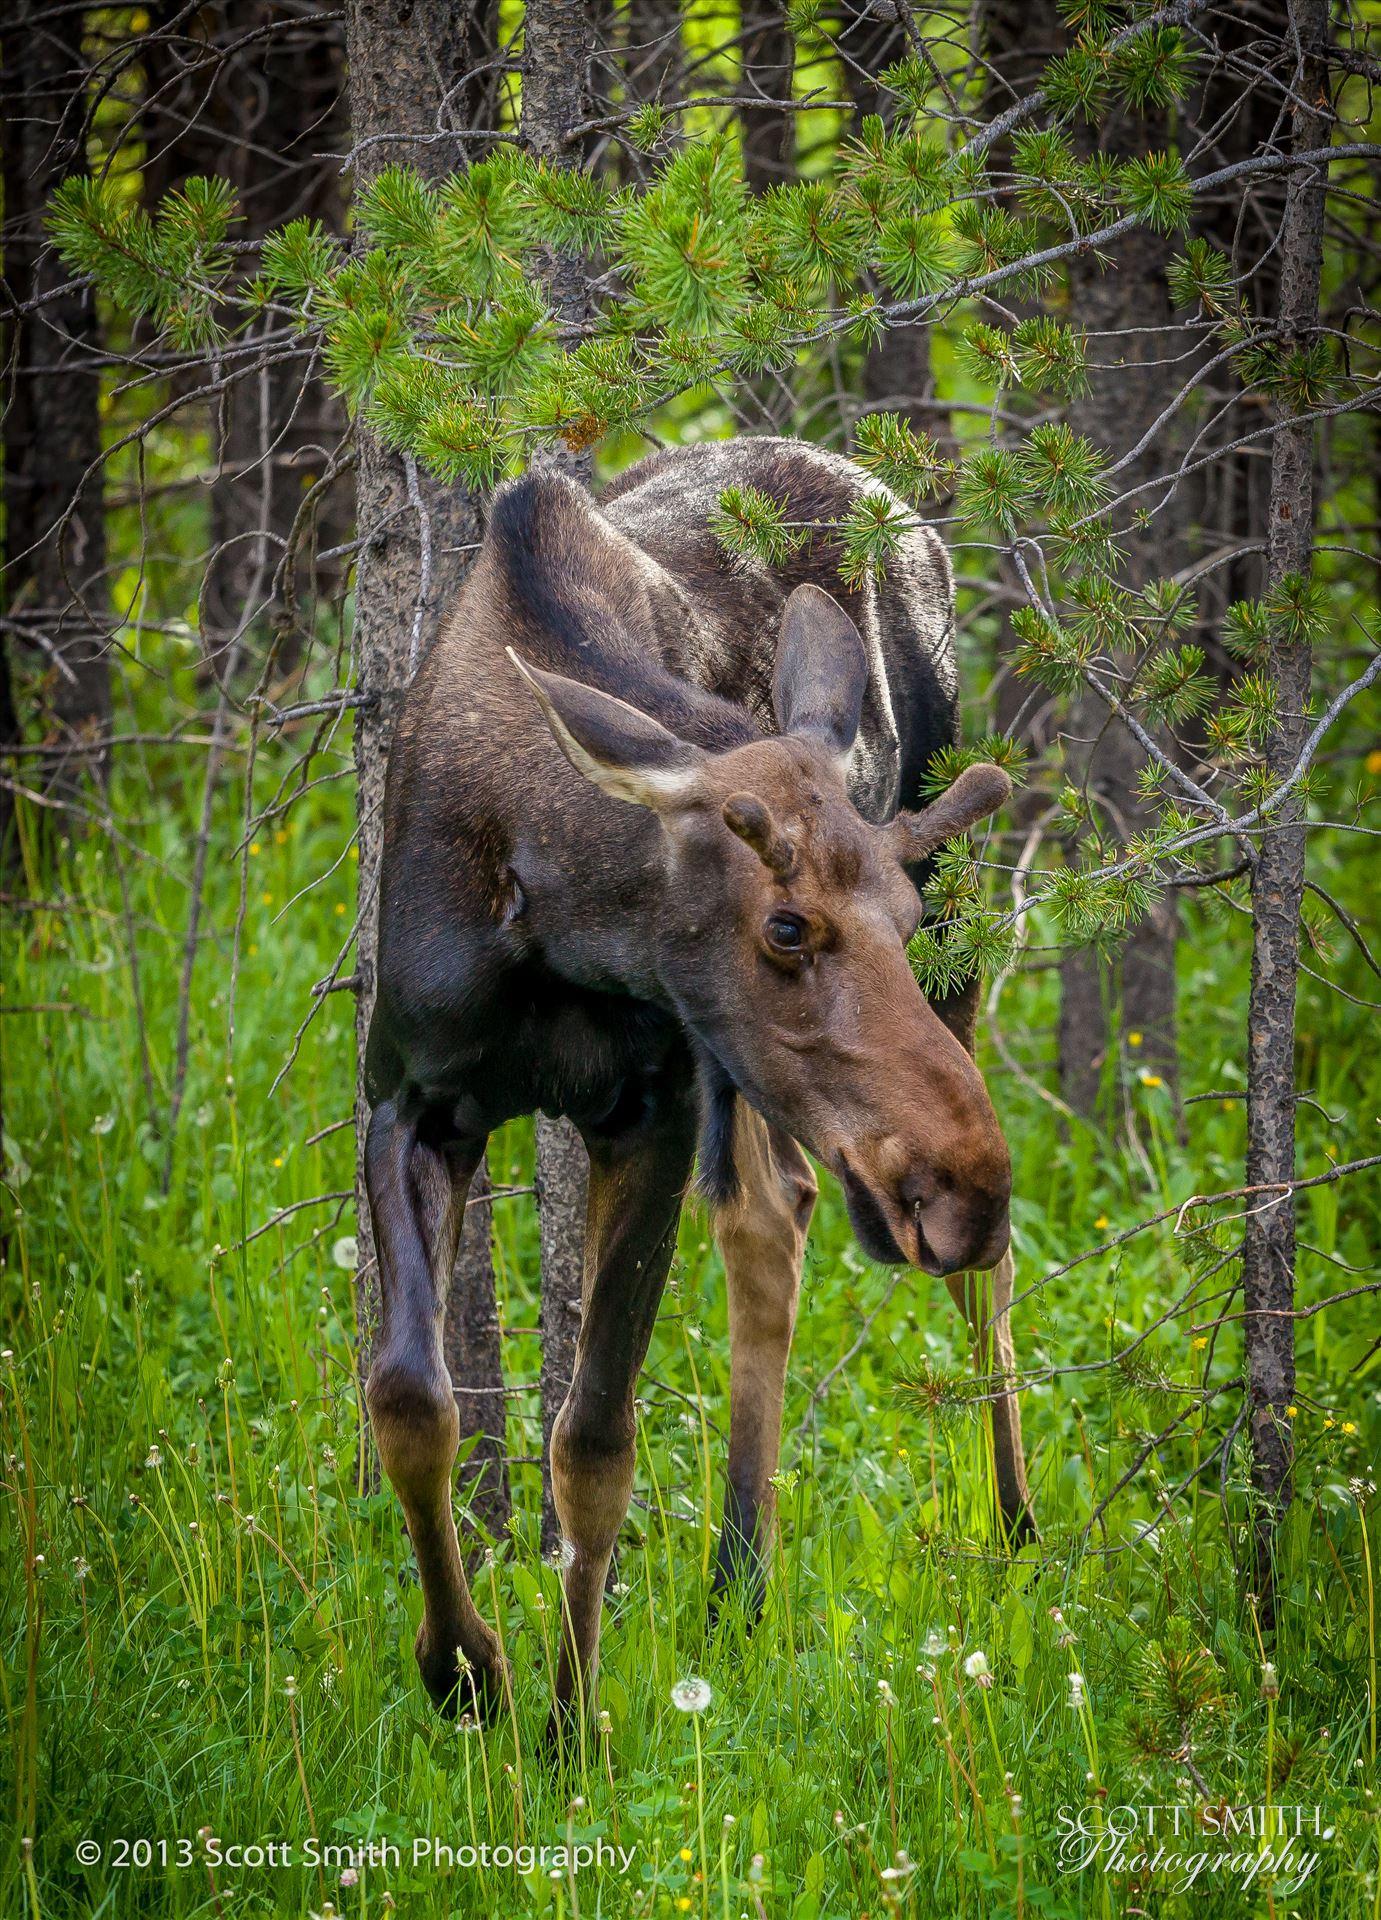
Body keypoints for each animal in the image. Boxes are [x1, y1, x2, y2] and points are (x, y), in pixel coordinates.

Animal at [361, 439, 1029, 1728]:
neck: (550, 909)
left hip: (942, 969)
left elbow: (592, 1441)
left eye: (892, 909)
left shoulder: (652, 1109)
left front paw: (570, 1722)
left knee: (970, 1277)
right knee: (777, 1216)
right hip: (753, 1087)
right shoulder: (407, 1098)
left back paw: (1016, 1529)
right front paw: (463, 1668)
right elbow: (413, 1397)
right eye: (785, 925)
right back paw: (736, 1583)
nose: (963, 1186)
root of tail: (903, 510)